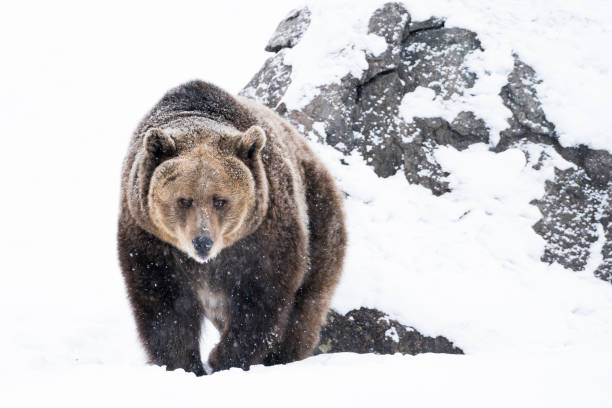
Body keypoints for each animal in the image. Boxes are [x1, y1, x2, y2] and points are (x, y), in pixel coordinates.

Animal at [117, 80, 346, 376]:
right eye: (184, 200)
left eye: (220, 200)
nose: (202, 242)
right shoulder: (151, 240)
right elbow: (164, 303)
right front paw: (183, 364)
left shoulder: (262, 235)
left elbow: (261, 298)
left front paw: (222, 358)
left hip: (319, 219)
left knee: (307, 306)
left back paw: (285, 355)